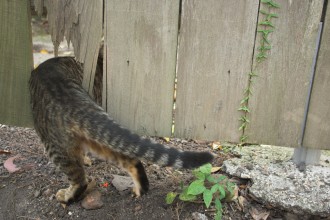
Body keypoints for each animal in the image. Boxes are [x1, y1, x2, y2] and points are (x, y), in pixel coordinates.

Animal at [29, 54, 214, 204]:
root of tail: (72, 102)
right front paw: (86, 159)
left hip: (54, 145)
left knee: (79, 180)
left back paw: (68, 196)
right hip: (101, 140)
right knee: (132, 159)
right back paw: (141, 188)